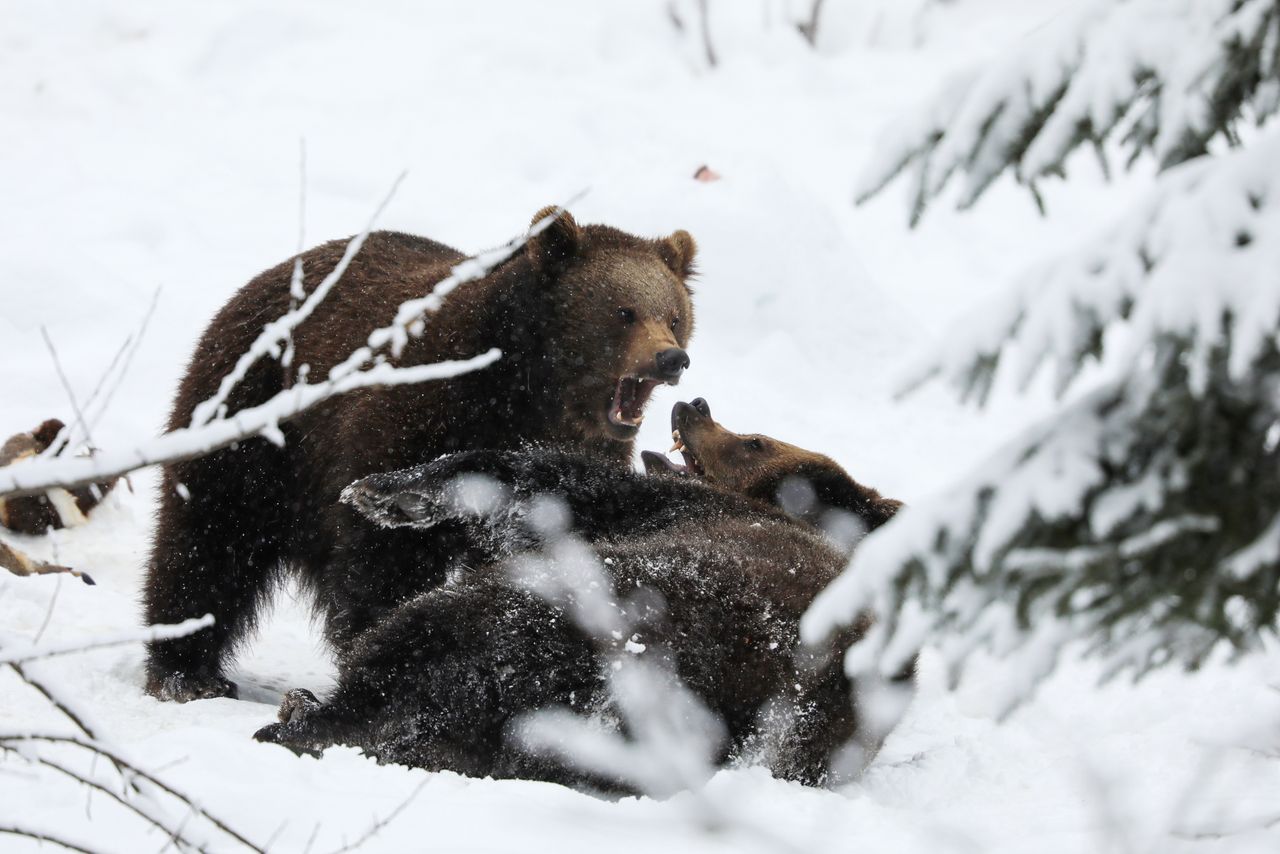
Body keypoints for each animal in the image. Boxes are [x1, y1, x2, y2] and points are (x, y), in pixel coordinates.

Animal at [144, 207, 696, 701]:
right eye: (623, 311)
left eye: (674, 315)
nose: (671, 358)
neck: (529, 393)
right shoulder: (416, 415)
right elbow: (384, 554)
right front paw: (382, 642)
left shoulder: (568, 463)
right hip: (253, 412)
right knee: (210, 533)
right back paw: (185, 670)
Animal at [254, 402, 906, 793]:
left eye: (755, 442)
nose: (693, 404)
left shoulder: (666, 512)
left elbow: (547, 481)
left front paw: (392, 490)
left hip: (555, 617)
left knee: (421, 645)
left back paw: (308, 712)